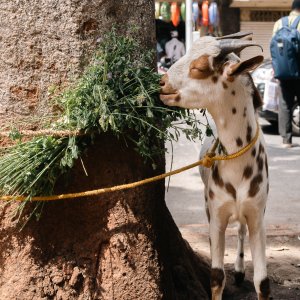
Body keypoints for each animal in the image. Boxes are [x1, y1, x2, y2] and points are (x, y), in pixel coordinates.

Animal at [161, 32, 270, 300]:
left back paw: (240, 270)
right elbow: (216, 276)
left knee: (240, 230)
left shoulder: (257, 214)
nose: (162, 82)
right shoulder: (217, 213)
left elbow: (263, 282)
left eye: (199, 67)